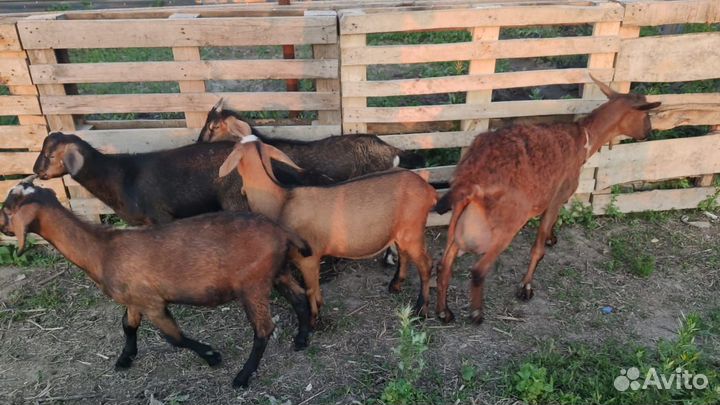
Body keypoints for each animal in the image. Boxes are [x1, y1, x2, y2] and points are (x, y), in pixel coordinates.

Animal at [0, 178, 312, 388]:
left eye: (6, 210)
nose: (2, 228)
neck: (102, 250)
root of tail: (280, 230)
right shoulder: (134, 299)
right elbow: (128, 326)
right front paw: (125, 359)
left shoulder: (152, 303)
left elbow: (173, 337)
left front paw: (212, 356)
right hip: (278, 272)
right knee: (300, 298)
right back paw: (301, 340)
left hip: (252, 284)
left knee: (263, 329)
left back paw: (243, 376)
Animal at [218, 136, 437, 325]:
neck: (282, 200)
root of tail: (429, 189)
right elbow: (315, 290)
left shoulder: (308, 258)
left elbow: (310, 290)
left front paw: (314, 320)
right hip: (402, 231)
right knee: (404, 254)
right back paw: (395, 285)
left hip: (413, 230)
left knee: (426, 265)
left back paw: (421, 309)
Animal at [433, 77, 662, 325]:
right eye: (646, 114)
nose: (649, 131)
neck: (585, 139)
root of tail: (470, 179)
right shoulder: (558, 196)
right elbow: (538, 247)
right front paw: (526, 287)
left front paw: (552, 237)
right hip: (507, 224)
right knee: (478, 269)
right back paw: (476, 313)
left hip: (459, 218)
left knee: (444, 264)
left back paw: (444, 311)